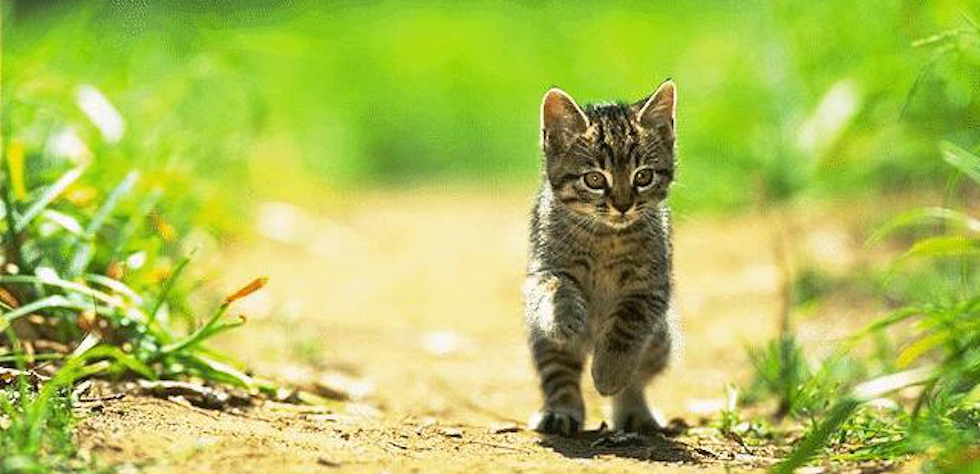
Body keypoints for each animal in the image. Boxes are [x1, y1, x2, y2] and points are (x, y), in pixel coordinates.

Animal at [524, 79, 676, 436]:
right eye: (594, 179)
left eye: (643, 177)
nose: (622, 205)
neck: (606, 237)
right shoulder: (544, 268)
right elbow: (556, 286)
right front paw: (565, 314)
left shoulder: (651, 287)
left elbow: (627, 327)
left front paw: (608, 372)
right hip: (540, 336)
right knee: (560, 373)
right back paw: (560, 411)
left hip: (661, 340)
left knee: (638, 376)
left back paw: (633, 410)